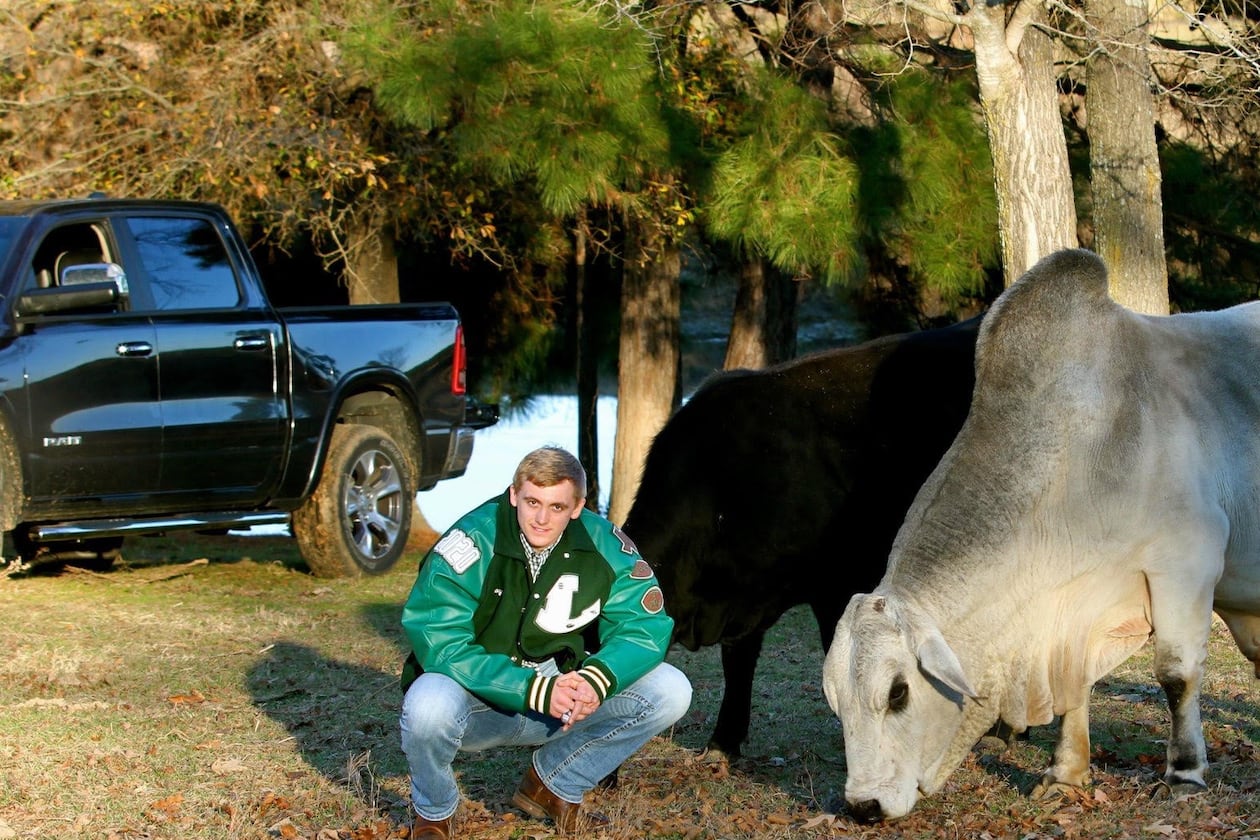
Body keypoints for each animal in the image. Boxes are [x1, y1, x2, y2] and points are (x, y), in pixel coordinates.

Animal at [822, 248, 1260, 822]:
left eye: (898, 693)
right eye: (835, 701)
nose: (863, 805)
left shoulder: (1186, 565)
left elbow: (1176, 675)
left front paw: (1184, 772)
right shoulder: (1070, 619)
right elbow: (1076, 689)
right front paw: (1064, 773)